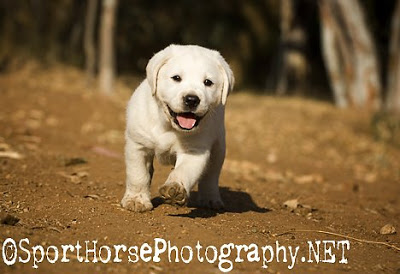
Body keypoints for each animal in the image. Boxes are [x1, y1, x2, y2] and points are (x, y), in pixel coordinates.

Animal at [121, 45, 234, 212]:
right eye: (176, 78)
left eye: (208, 82)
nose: (192, 99)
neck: (169, 126)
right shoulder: (138, 145)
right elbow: (138, 175)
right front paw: (136, 200)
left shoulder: (194, 151)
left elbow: (183, 171)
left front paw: (174, 189)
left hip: (219, 148)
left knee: (211, 176)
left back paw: (210, 199)